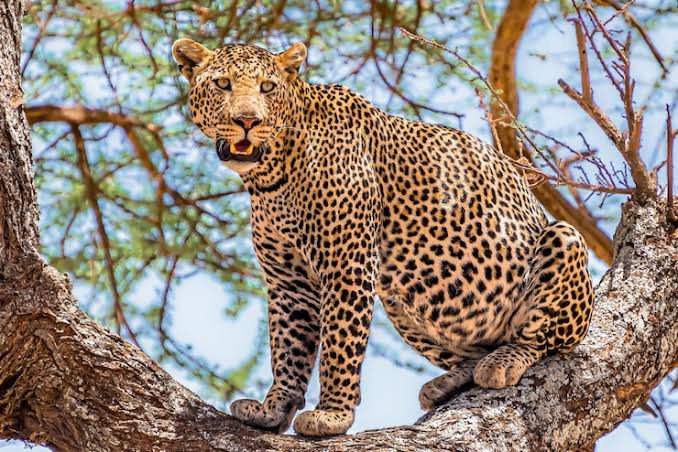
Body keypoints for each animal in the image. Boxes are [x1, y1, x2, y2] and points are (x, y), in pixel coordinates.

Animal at [172, 38, 595, 437]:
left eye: (268, 87)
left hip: (563, 241)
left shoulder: (348, 264)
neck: (271, 174)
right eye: (223, 84)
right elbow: (288, 348)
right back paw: (449, 382)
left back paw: (504, 361)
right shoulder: (288, 281)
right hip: (406, 299)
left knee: (544, 340)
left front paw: (333, 415)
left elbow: (340, 343)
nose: (247, 119)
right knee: (469, 352)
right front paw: (273, 409)